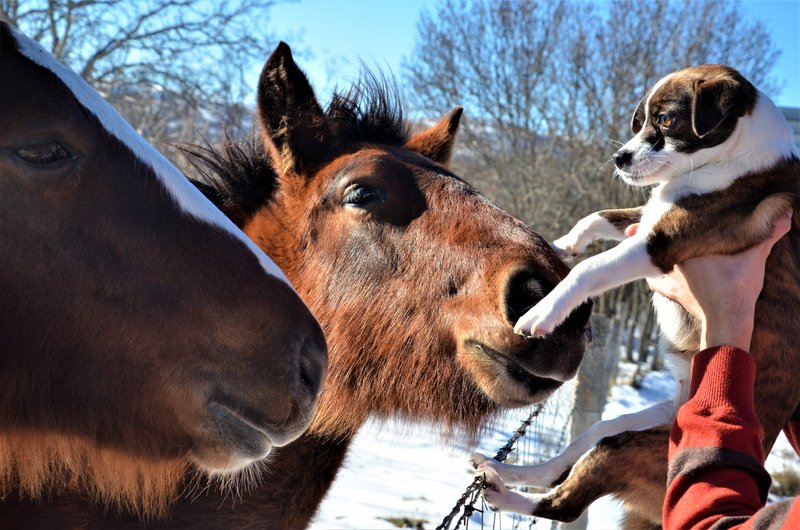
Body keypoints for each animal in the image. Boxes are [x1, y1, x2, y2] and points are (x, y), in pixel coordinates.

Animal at [468, 64, 800, 524]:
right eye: (638, 121)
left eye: (667, 120)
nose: (620, 158)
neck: (733, 157)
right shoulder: (647, 217)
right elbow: (596, 218)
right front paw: (560, 245)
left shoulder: (658, 243)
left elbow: (589, 269)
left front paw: (543, 312)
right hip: (620, 428)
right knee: (568, 461)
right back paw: (504, 469)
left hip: (627, 450)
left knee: (564, 505)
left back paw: (505, 494)